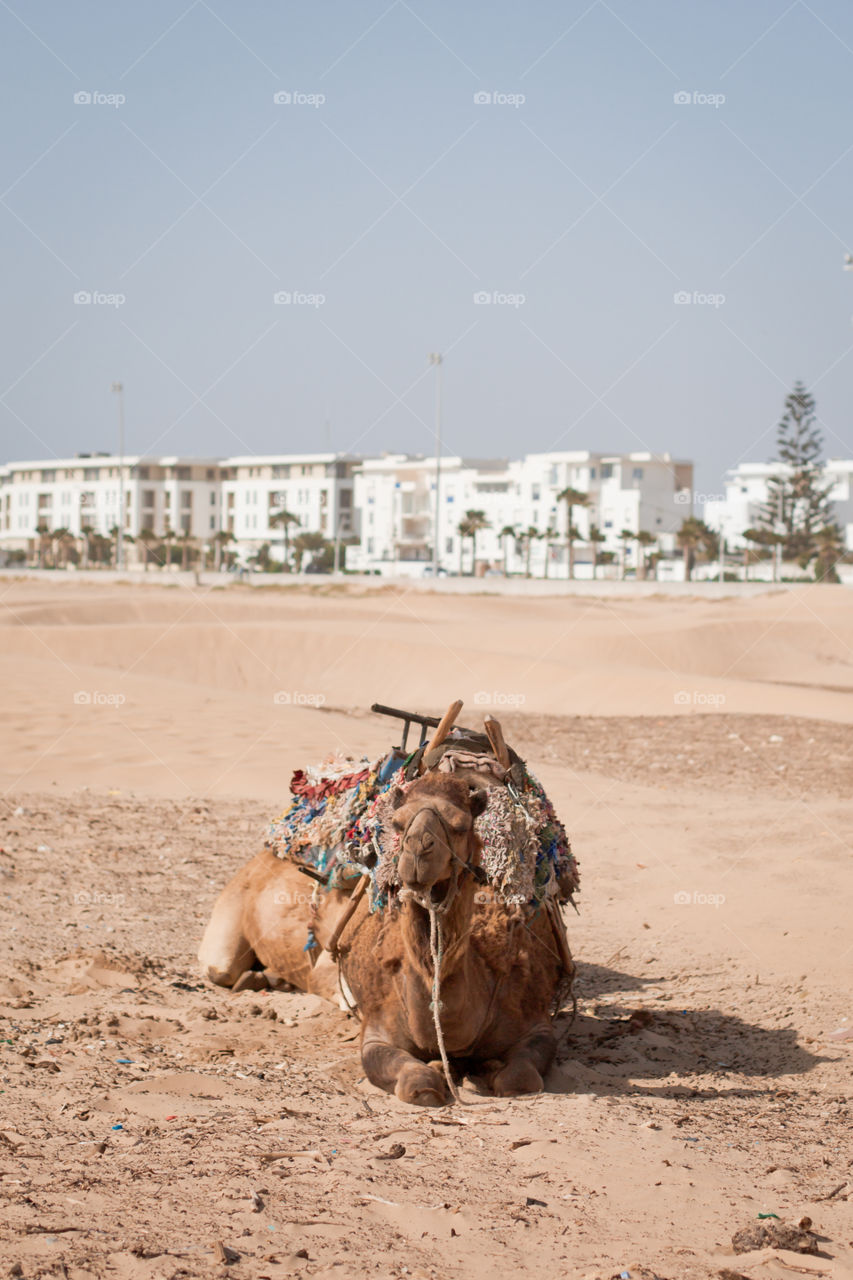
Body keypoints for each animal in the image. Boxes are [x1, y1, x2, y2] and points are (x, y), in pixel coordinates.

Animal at [199, 768, 571, 1111]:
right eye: (397, 823)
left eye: (460, 824)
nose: (418, 850)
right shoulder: (376, 1032)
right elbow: (416, 1083)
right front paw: (436, 1070)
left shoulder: (535, 1020)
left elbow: (520, 1079)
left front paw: (491, 1067)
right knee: (224, 968)